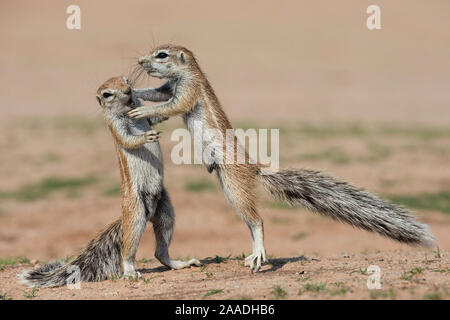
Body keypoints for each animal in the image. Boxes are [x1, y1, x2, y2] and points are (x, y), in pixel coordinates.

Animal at [20, 75, 200, 288]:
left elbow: (154, 119)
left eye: (126, 80)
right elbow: (129, 140)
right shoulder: (115, 127)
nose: (129, 91)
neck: (127, 112)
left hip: (165, 209)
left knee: (160, 248)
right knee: (127, 249)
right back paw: (130, 271)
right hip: (136, 212)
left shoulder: (144, 117)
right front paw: (146, 135)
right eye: (107, 94)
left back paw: (180, 263)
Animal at [127, 43, 436, 272]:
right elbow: (156, 93)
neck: (188, 72)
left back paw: (259, 252)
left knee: (257, 221)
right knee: (250, 220)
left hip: (234, 183)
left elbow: (172, 105)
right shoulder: (168, 87)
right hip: (228, 185)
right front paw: (132, 89)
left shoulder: (188, 90)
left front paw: (142, 110)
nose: (140, 61)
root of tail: (254, 168)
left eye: (162, 54)